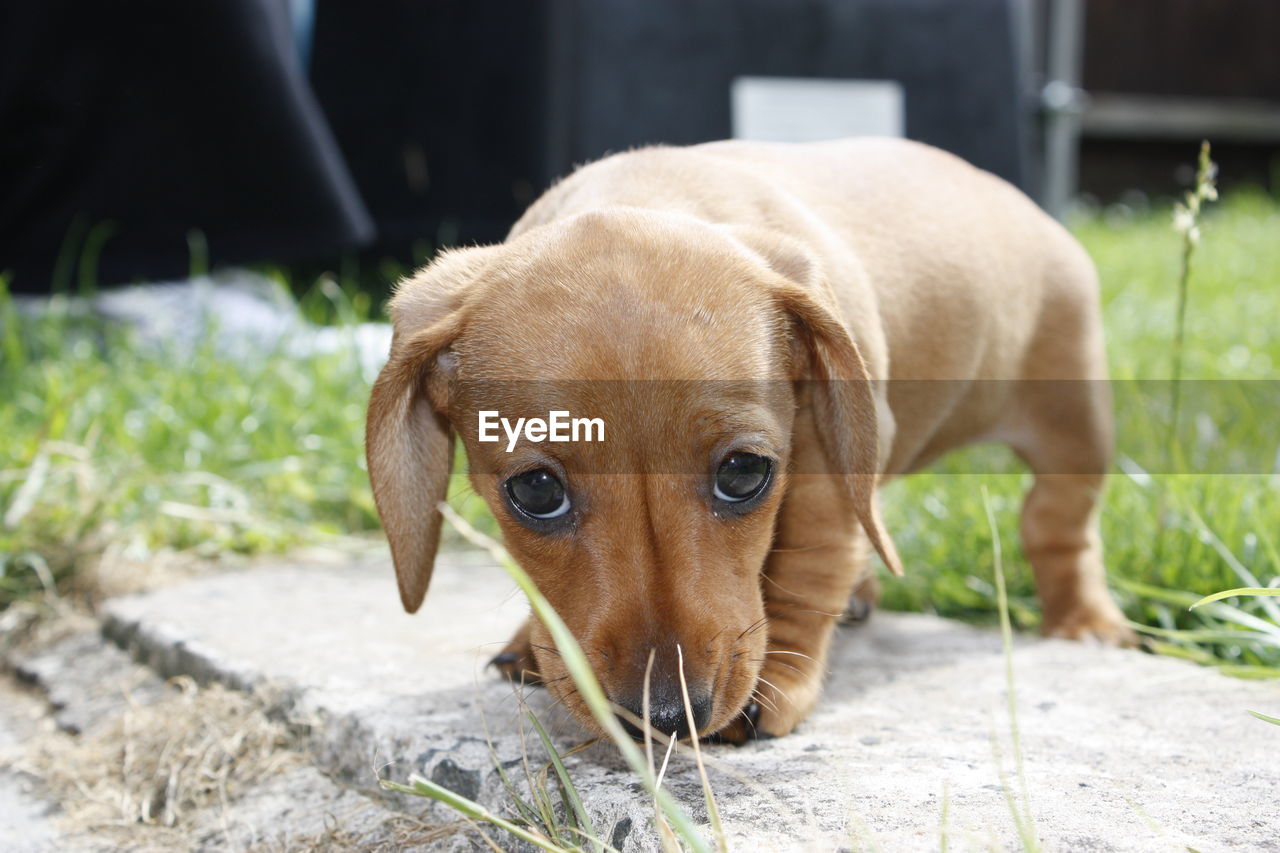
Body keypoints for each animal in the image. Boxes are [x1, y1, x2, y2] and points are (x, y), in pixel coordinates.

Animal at [366, 137, 1136, 737]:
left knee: (1058, 524)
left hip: (1074, 420)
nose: (665, 718)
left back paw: (1085, 619)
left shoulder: (824, 466)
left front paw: (781, 677)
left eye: (743, 473)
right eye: (535, 491)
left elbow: (807, 568)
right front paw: (534, 642)